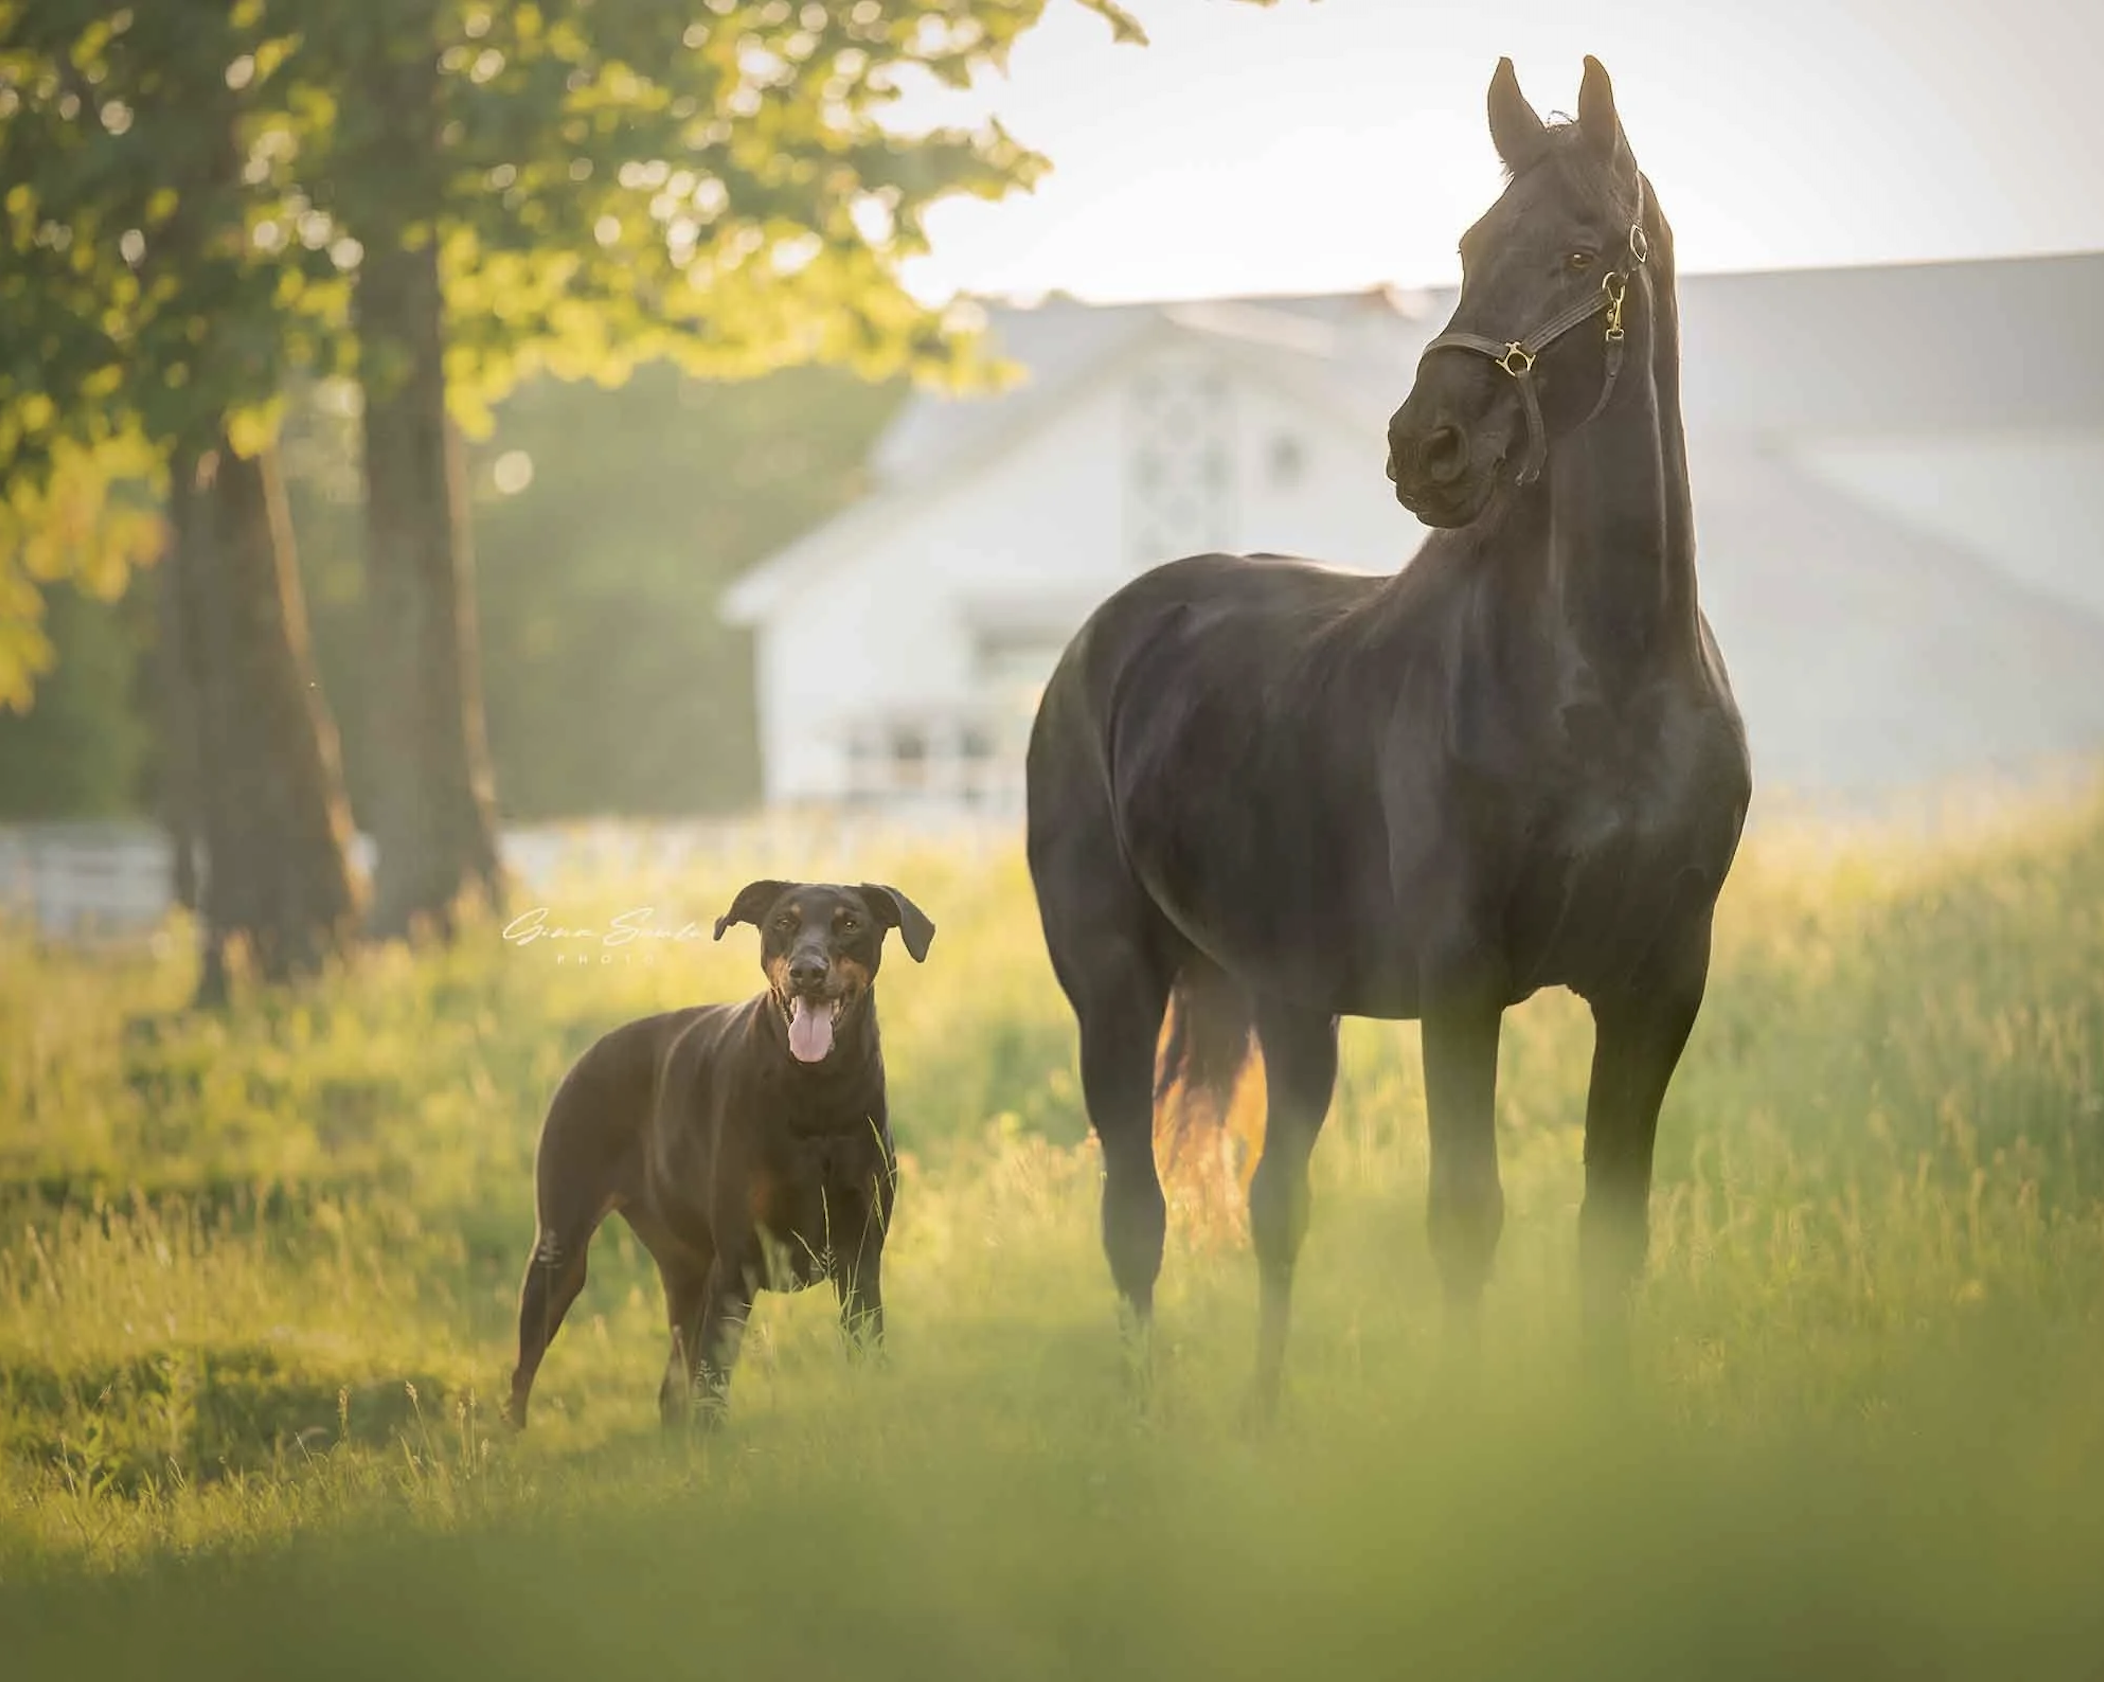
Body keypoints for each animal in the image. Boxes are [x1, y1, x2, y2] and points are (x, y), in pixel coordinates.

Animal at [1023, 55, 1752, 1417]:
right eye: (1467, 246)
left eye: (1582, 253)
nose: (1430, 448)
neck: (1607, 685)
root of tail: (1111, 633)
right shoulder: (1462, 988)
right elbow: (1464, 1219)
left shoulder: (1656, 986)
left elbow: (1608, 1228)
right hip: (1111, 982)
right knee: (1136, 1214)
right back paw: (1147, 1415)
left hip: (1288, 999)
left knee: (1273, 1205)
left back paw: (1263, 1415)